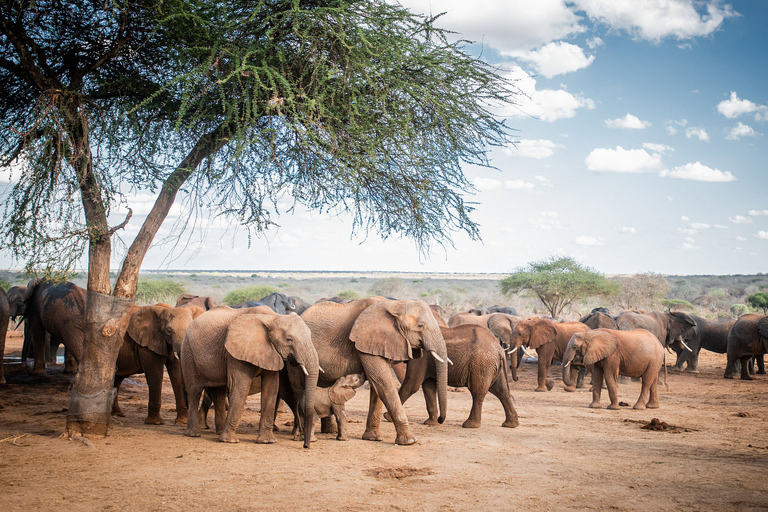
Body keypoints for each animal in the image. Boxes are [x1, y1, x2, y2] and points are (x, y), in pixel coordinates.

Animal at [182, 306, 320, 446]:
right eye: (289, 339)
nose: (306, 446)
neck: (273, 317)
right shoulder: (236, 351)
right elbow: (240, 387)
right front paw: (230, 441)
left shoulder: (271, 352)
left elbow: (271, 388)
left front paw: (267, 441)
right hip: (188, 352)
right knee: (194, 391)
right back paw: (194, 434)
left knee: (219, 392)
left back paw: (218, 433)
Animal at [294, 298, 450, 446]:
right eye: (420, 326)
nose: (441, 420)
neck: (395, 305)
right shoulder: (366, 341)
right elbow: (382, 382)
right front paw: (410, 441)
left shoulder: (378, 344)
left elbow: (377, 386)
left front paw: (373, 438)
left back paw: (328, 431)